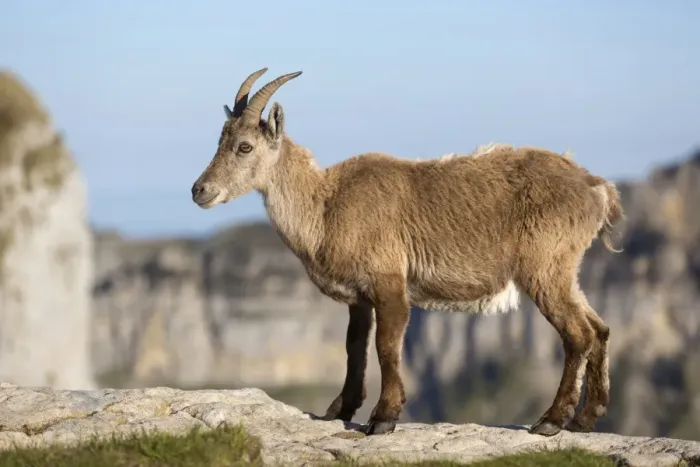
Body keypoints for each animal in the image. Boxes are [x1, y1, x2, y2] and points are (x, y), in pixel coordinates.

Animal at [191, 68, 624, 437]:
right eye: (219, 142)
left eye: (244, 146)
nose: (200, 190)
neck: (326, 205)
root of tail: (596, 187)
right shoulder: (360, 298)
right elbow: (354, 349)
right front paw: (339, 410)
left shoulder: (390, 285)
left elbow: (386, 348)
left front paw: (382, 419)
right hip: (566, 272)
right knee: (600, 328)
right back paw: (586, 419)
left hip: (544, 269)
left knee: (579, 334)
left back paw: (551, 420)